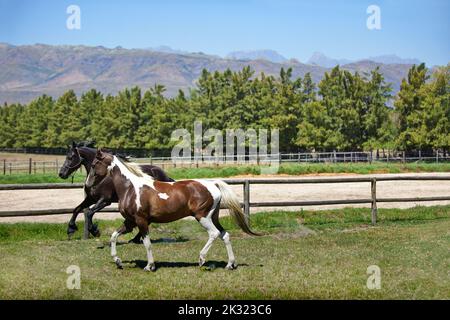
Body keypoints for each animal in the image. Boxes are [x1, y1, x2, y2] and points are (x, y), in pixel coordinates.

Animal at [88, 149, 258, 270]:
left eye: (94, 164)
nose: (89, 184)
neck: (130, 188)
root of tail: (213, 184)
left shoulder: (141, 220)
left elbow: (147, 243)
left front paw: (150, 266)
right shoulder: (130, 222)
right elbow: (113, 236)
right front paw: (118, 261)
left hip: (202, 217)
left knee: (214, 234)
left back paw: (201, 259)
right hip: (213, 217)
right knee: (225, 235)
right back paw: (230, 264)